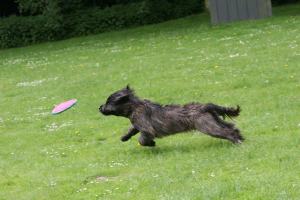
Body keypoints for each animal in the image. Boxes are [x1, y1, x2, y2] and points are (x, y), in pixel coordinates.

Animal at [99, 86, 244, 147]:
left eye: (108, 102)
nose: (99, 107)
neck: (134, 106)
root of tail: (205, 106)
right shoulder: (137, 124)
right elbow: (132, 129)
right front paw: (124, 137)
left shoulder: (146, 128)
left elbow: (142, 139)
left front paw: (151, 144)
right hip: (214, 120)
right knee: (231, 127)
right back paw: (240, 138)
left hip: (208, 126)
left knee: (227, 131)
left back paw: (237, 142)